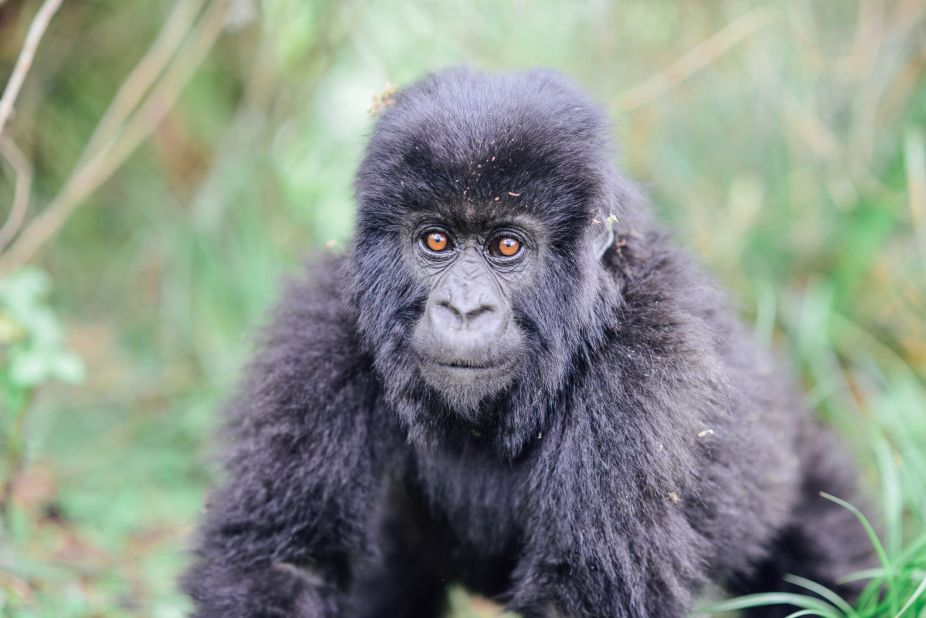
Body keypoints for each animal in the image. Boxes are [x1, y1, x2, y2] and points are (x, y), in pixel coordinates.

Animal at [183, 68, 876, 616]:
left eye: (507, 247)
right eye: (436, 240)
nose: (464, 308)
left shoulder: (646, 371)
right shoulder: (324, 327)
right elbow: (283, 562)